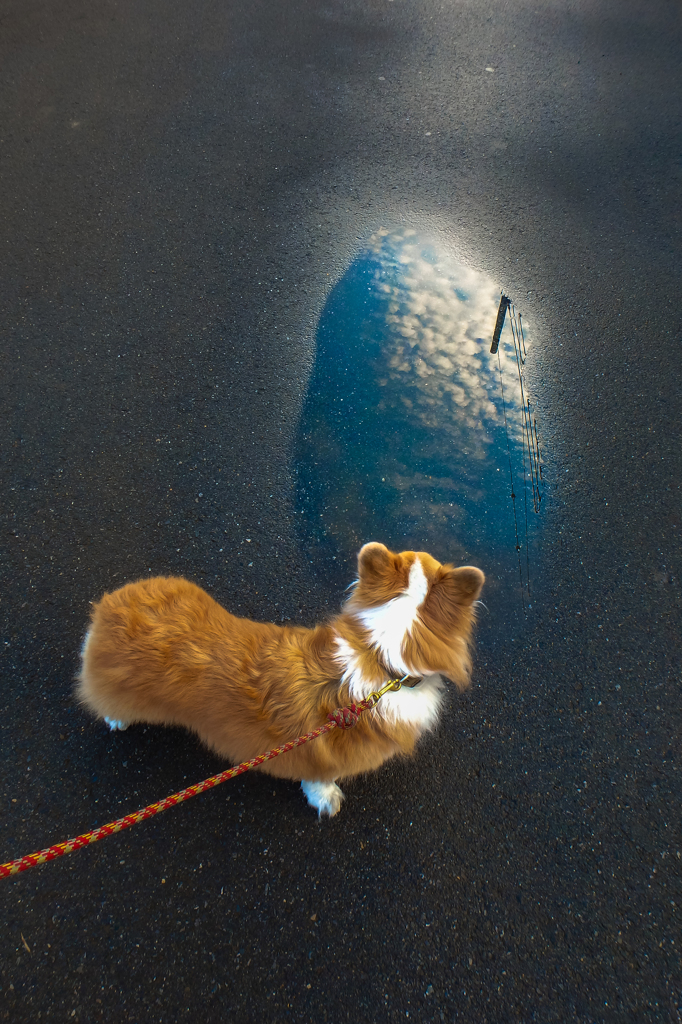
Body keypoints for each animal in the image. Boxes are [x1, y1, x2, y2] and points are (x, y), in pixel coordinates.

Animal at [76, 544, 483, 815]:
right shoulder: (320, 762)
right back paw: (116, 719)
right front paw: (327, 801)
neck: (382, 660)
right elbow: (319, 782)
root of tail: (106, 609)